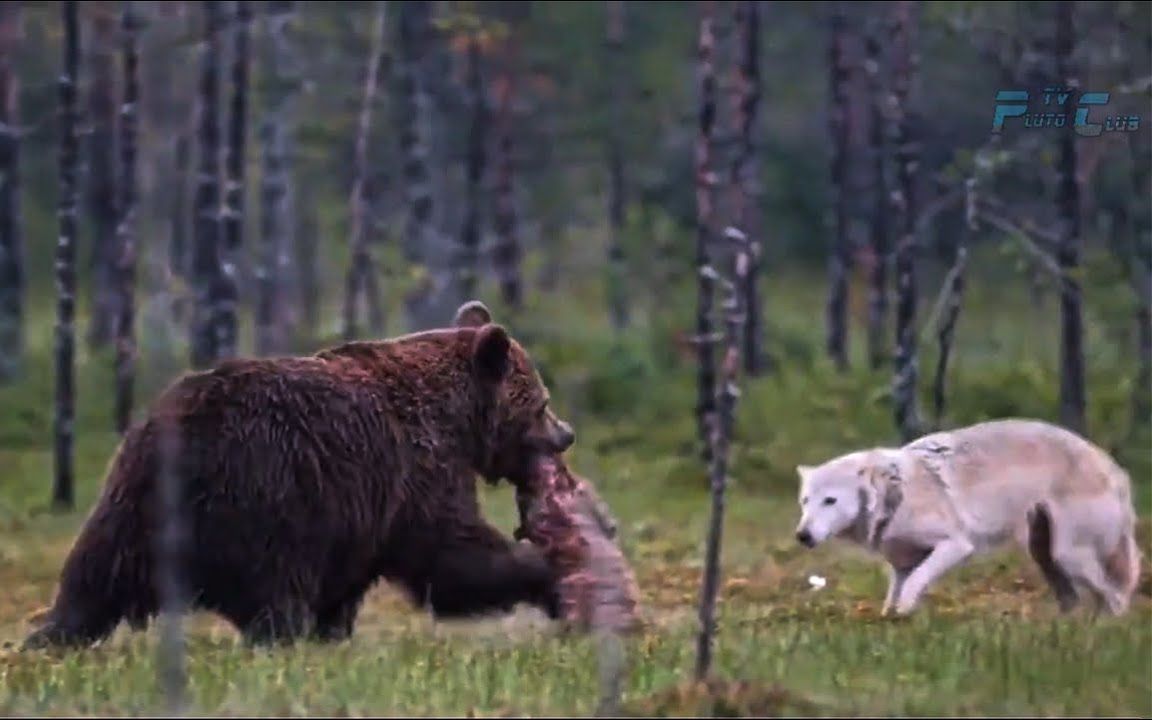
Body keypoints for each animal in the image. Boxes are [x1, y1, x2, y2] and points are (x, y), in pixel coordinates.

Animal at [20, 299, 573, 649]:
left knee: (93, 580)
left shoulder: (363, 514)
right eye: (541, 403)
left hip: (127, 497)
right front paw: (549, 575)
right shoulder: (415, 471)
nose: (566, 434)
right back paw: (283, 638)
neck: (456, 417)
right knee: (276, 594)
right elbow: (455, 554)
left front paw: (336, 631)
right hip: (267, 496)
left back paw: (46, 636)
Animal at [792, 419, 1142, 612]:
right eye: (805, 502)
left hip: (1069, 556)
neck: (896, 493)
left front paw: (903, 614)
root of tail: (1114, 468)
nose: (802, 536)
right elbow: (893, 598)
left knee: (1116, 597)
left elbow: (913, 586)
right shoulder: (901, 565)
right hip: (1046, 556)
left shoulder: (956, 546)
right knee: (1077, 601)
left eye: (830, 501)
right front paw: (891, 623)